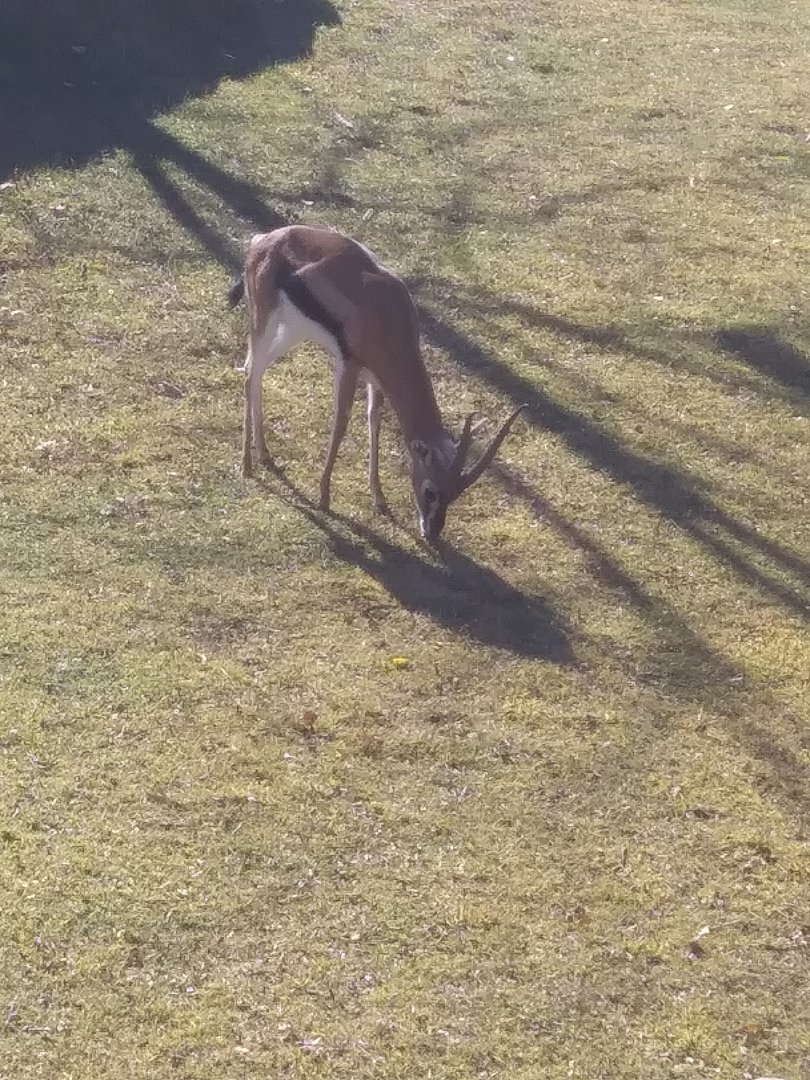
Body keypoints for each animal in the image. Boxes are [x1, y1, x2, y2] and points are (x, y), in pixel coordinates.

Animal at [229, 224, 526, 541]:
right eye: (430, 491)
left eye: (455, 493)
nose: (431, 533)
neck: (387, 315)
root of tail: (264, 239)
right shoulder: (348, 366)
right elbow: (341, 425)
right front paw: (324, 498)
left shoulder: (377, 379)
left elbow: (374, 423)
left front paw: (380, 500)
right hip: (263, 320)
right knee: (249, 372)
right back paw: (247, 466)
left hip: (291, 333)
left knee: (257, 372)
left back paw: (264, 455)